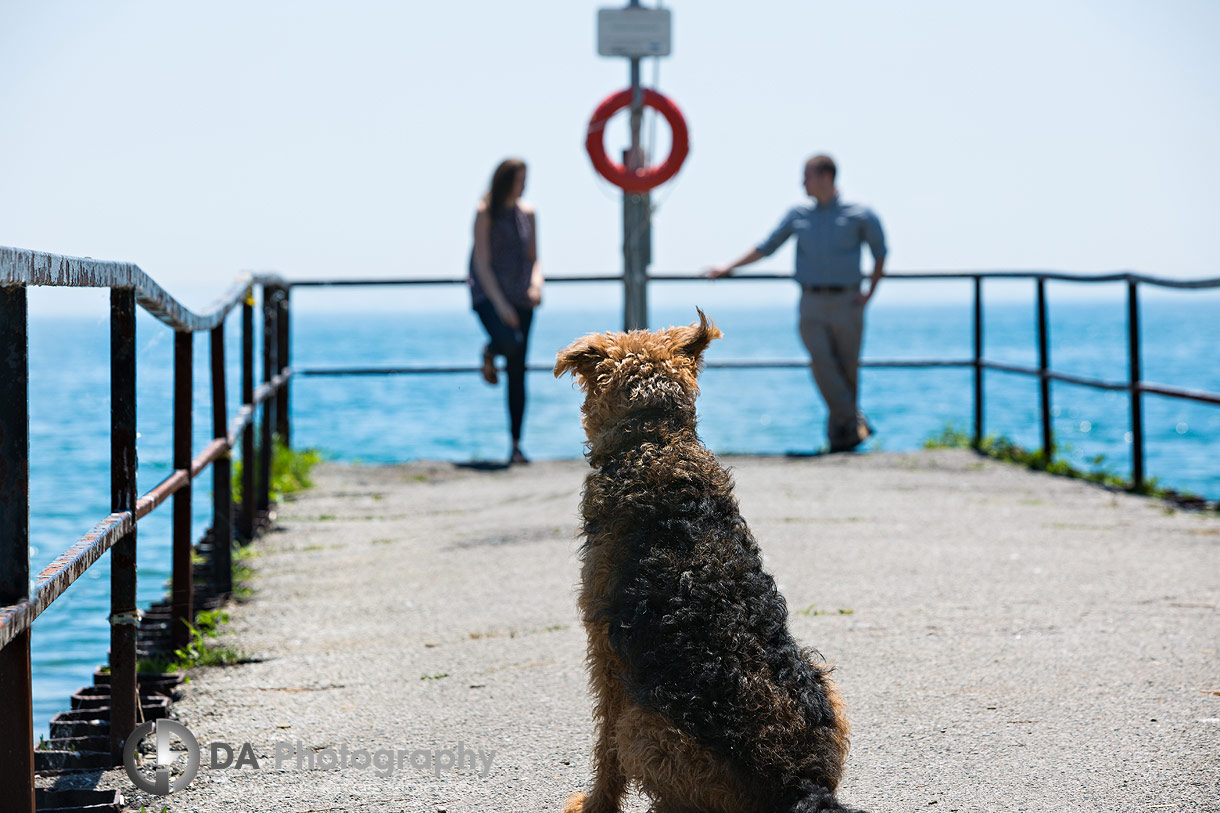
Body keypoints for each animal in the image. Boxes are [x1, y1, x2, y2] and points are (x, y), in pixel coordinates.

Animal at [558, 310, 863, 810]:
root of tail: (801, 782)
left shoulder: (605, 650)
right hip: (825, 684)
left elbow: (604, 748)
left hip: (643, 727)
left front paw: (594, 804)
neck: (655, 440)